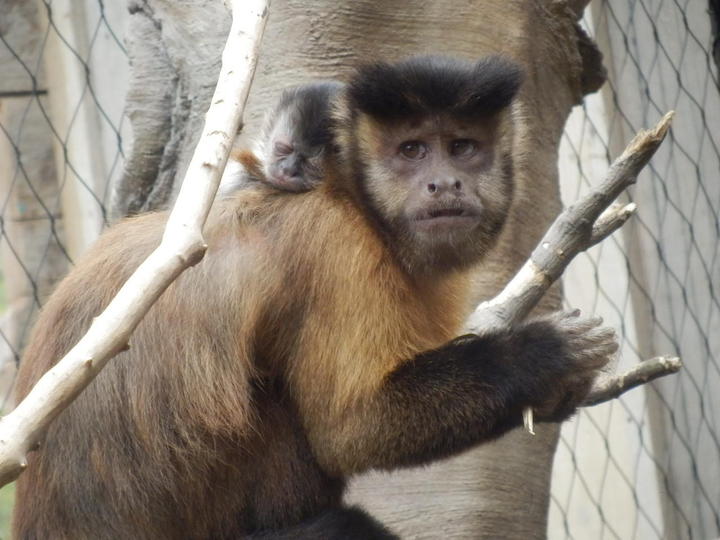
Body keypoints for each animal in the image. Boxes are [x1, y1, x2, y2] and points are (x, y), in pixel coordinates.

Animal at [14, 56, 616, 540]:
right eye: (412, 150)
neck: (351, 199)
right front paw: (540, 359)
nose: (444, 183)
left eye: (462, 148)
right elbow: (352, 430)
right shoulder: (335, 247)